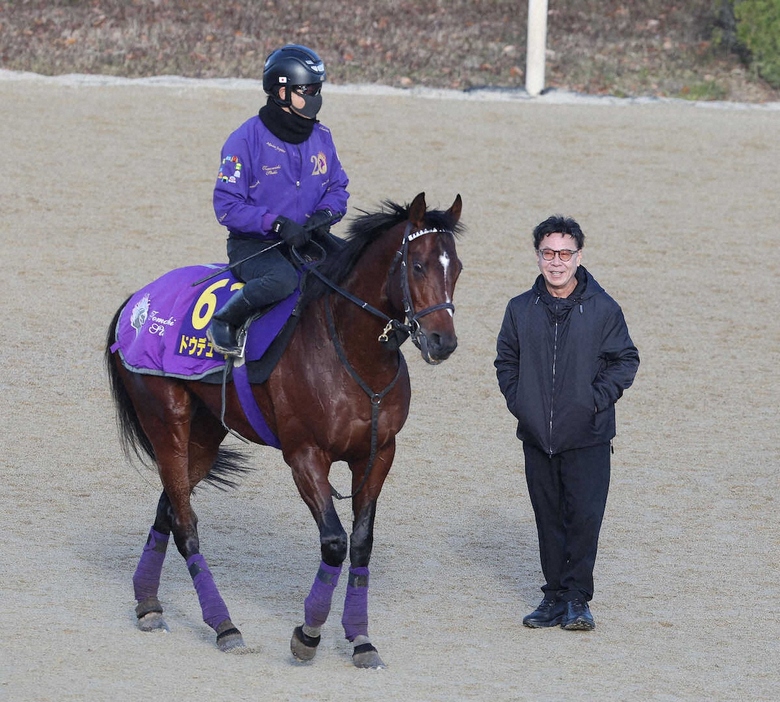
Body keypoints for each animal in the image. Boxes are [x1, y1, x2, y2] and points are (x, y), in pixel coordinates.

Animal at [107, 194, 466, 672]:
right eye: (419, 265)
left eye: (456, 266)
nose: (443, 341)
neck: (350, 353)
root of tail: (137, 300)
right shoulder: (305, 455)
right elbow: (334, 542)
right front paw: (308, 634)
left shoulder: (378, 454)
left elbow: (361, 543)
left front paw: (361, 640)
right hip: (167, 422)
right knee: (185, 523)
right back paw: (225, 627)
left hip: (203, 436)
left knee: (168, 507)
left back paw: (148, 603)